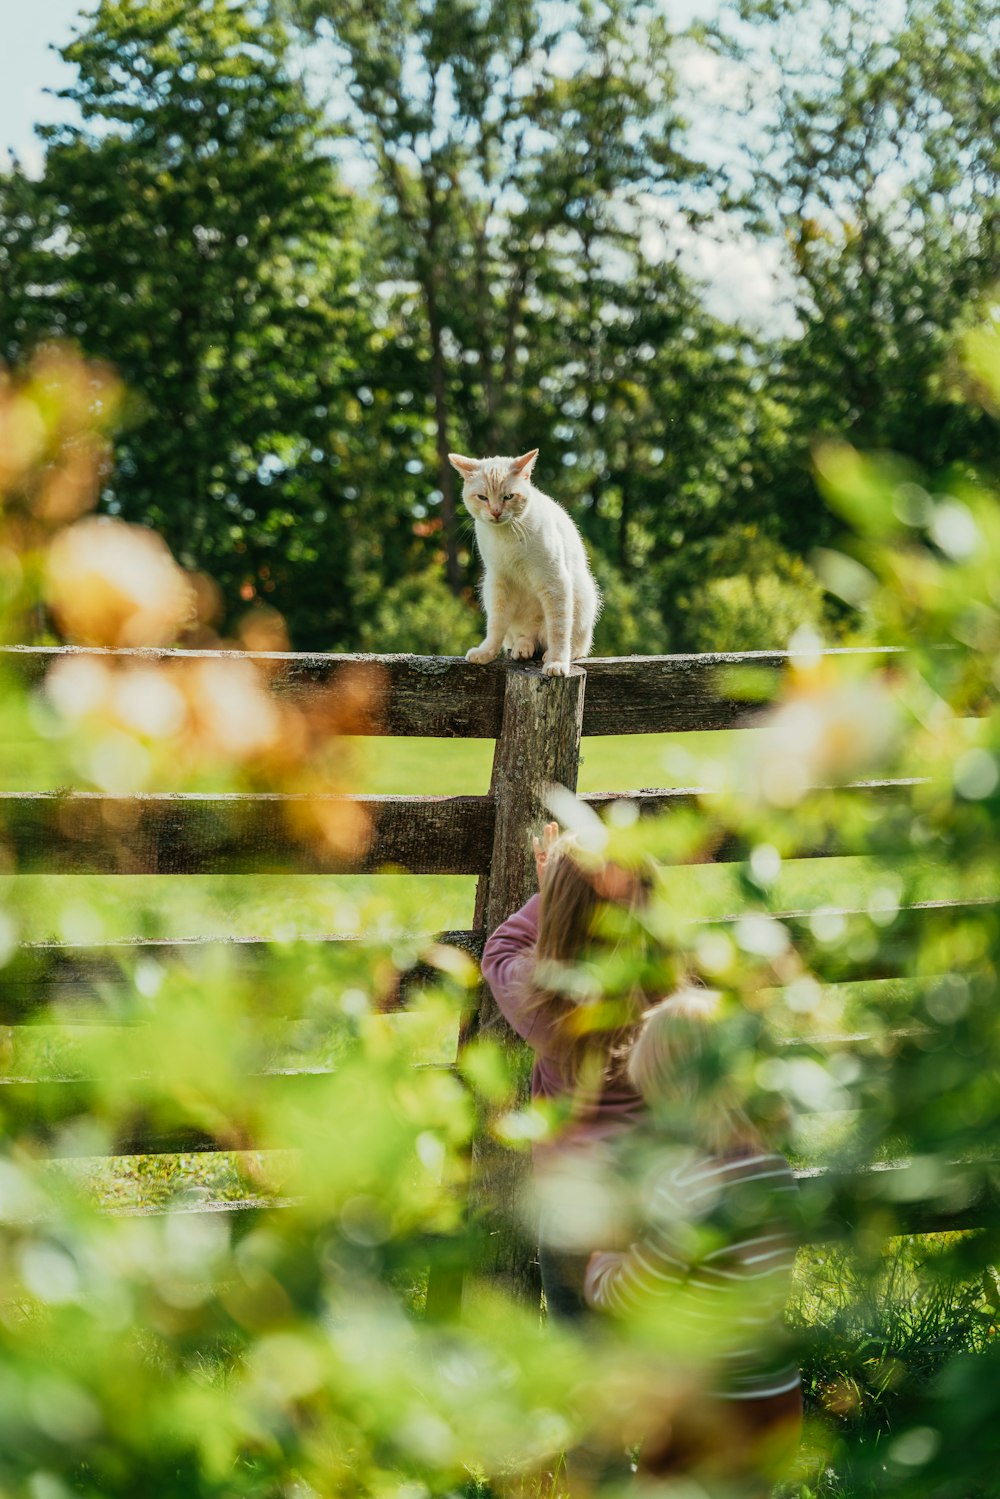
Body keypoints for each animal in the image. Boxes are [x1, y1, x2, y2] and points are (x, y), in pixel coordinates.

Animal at [446, 446, 602, 677]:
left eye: (508, 497)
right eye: (482, 497)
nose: (495, 512)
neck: (506, 536)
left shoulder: (554, 581)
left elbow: (558, 629)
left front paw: (557, 663)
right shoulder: (499, 583)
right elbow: (496, 626)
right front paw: (486, 653)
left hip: (583, 594)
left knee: (570, 644)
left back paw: (550, 655)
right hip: (488, 590)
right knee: (525, 636)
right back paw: (522, 649)